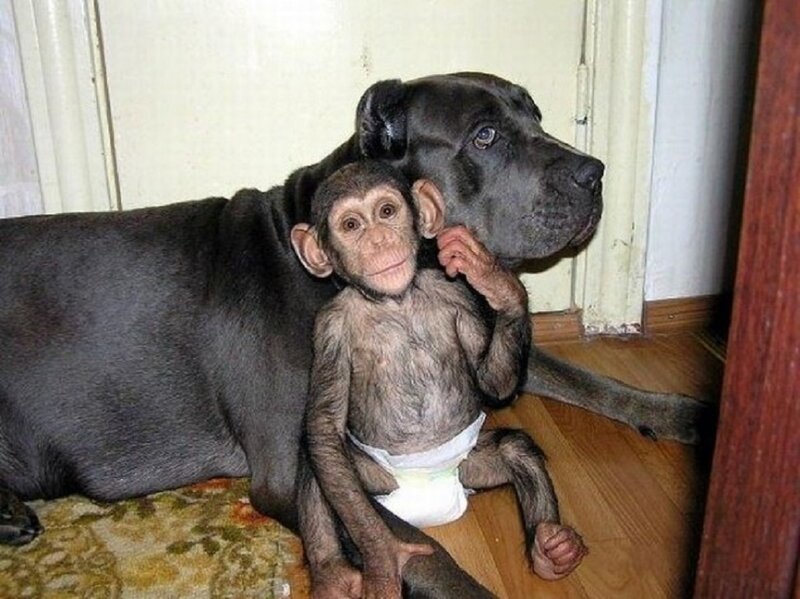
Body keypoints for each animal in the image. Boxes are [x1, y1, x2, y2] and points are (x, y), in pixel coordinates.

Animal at [290, 161, 587, 599]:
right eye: (351, 225)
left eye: (387, 212)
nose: (378, 239)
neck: (394, 302)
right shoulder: (327, 331)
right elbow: (325, 425)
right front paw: (384, 558)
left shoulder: (458, 299)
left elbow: (492, 382)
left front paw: (496, 282)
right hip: (373, 483)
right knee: (320, 464)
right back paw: (333, 575)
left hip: (473, 467)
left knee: (516, 449)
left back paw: (552, 549)